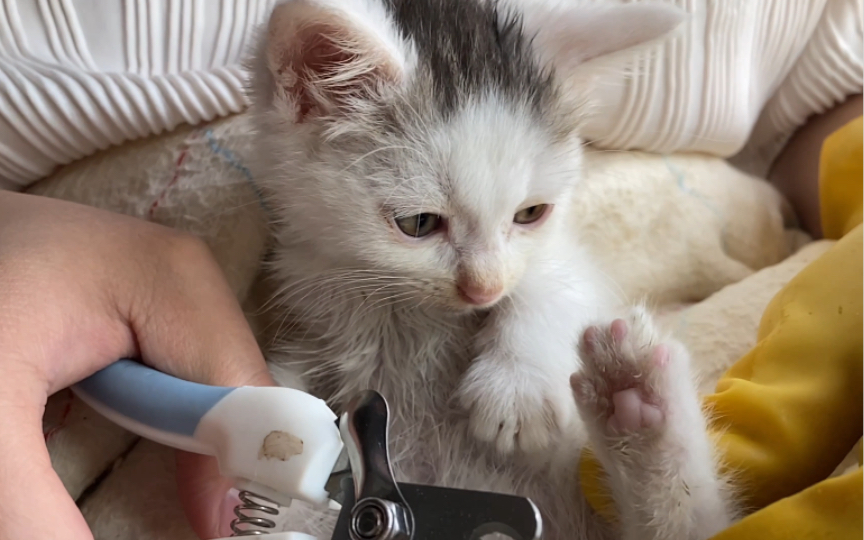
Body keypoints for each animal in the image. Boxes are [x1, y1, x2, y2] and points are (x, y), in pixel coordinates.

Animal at [246, 0, 740, 536]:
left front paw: (516, 390)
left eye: (531, 213)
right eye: (418, 223)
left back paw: (636, 390)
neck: (404, 305)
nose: (483, 291)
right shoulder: (306, 287)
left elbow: (552, 282)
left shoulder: (566, 258)